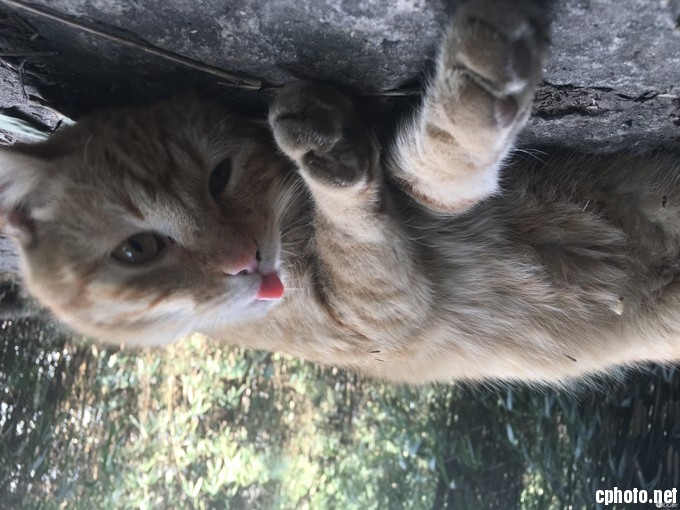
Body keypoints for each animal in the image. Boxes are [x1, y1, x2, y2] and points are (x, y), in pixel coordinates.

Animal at [1, 0, 679, 384]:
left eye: (219, 177)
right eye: (136, 251)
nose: (244, 259)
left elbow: (425, 162)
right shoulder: (385, 316)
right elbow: (382, 202)